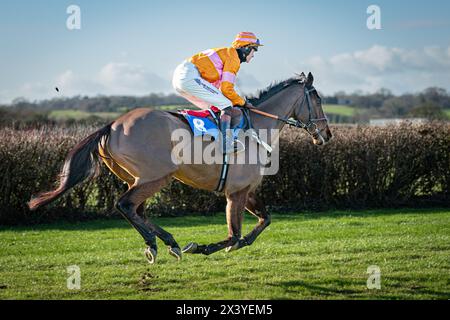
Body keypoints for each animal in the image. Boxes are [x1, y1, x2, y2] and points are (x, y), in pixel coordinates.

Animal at [27, 72, 330, 262]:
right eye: (317, 98)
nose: (326, 134)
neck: (256, 126)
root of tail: (111, 125)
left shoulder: (247, 190)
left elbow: (262, 222)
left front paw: (230, 245)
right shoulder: (236, 191)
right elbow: (233, 234)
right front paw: (202, 247)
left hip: (138, 178)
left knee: (137, 209)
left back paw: (168, 242)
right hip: (156, 177)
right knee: (125, 205)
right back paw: (155, 243)